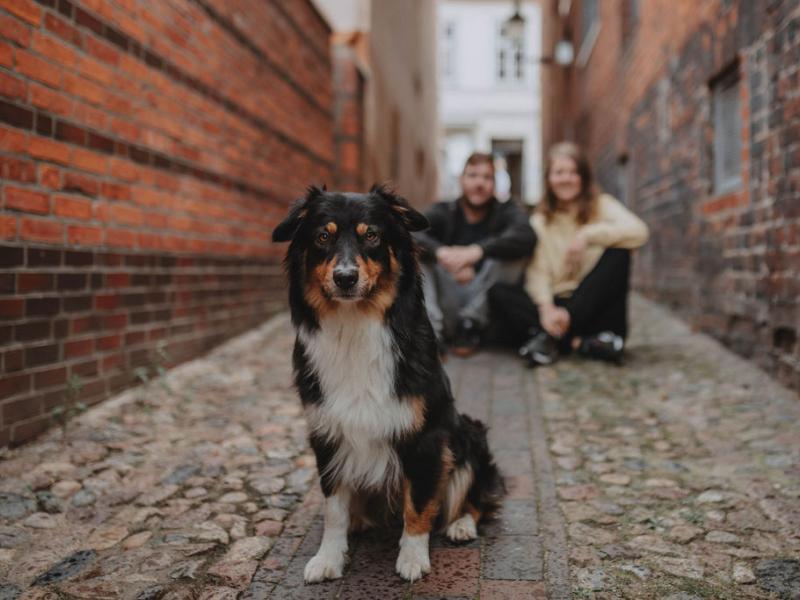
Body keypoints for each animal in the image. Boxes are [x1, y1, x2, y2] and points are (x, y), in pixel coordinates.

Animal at [272, 186, 504, 580]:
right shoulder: (327, 433)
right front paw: (329, 558)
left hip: (469, 435)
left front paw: (412, 558)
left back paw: (461, 525)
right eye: (322, 237)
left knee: (475, 499)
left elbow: (419, 504)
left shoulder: (426, 437)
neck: (354, 325)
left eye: (372, 236)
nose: (345, 277)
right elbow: (334, 507)